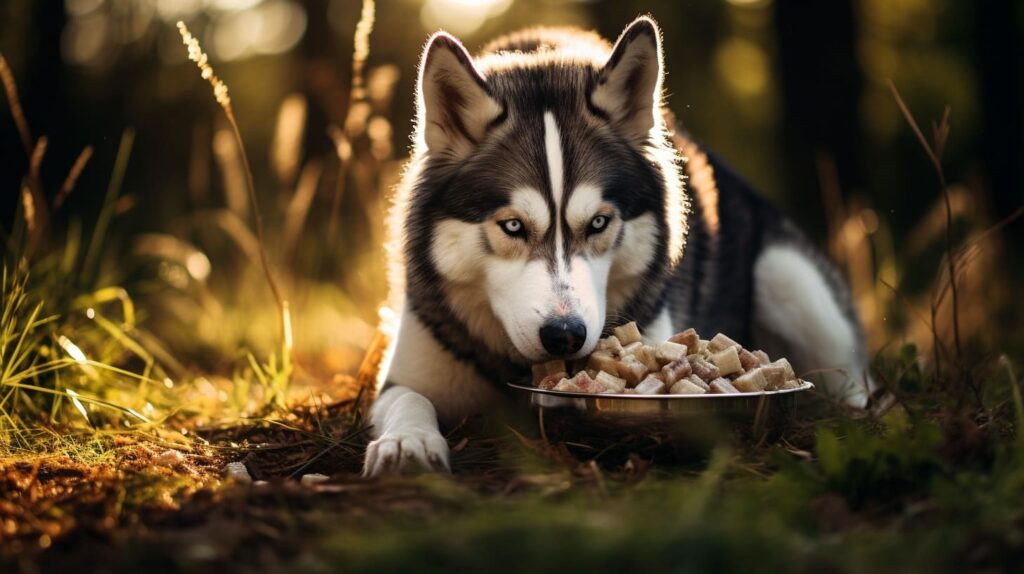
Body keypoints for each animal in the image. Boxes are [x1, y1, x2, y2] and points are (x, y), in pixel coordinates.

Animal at [364, 16, 876, 474]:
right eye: (512, 226)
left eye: (597, 223)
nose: (565, 335)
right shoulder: (405, 374)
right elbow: (408, 399)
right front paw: (407, 442)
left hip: (789, 281)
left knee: (856, 379)